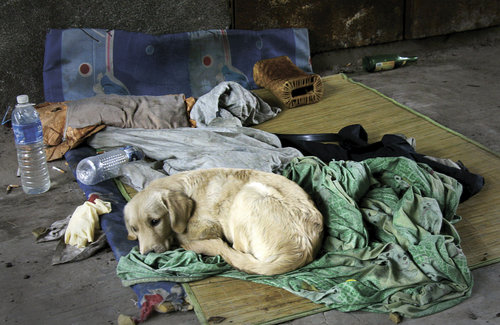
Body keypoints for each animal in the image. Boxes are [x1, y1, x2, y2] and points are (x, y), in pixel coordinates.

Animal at [123, 168, 322, 274]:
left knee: (236, 248)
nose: (147, 253)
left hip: (249, 193)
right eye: (134, 228)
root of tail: (302, 250)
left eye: (155, 221)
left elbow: (183, 234)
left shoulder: (209, 226)